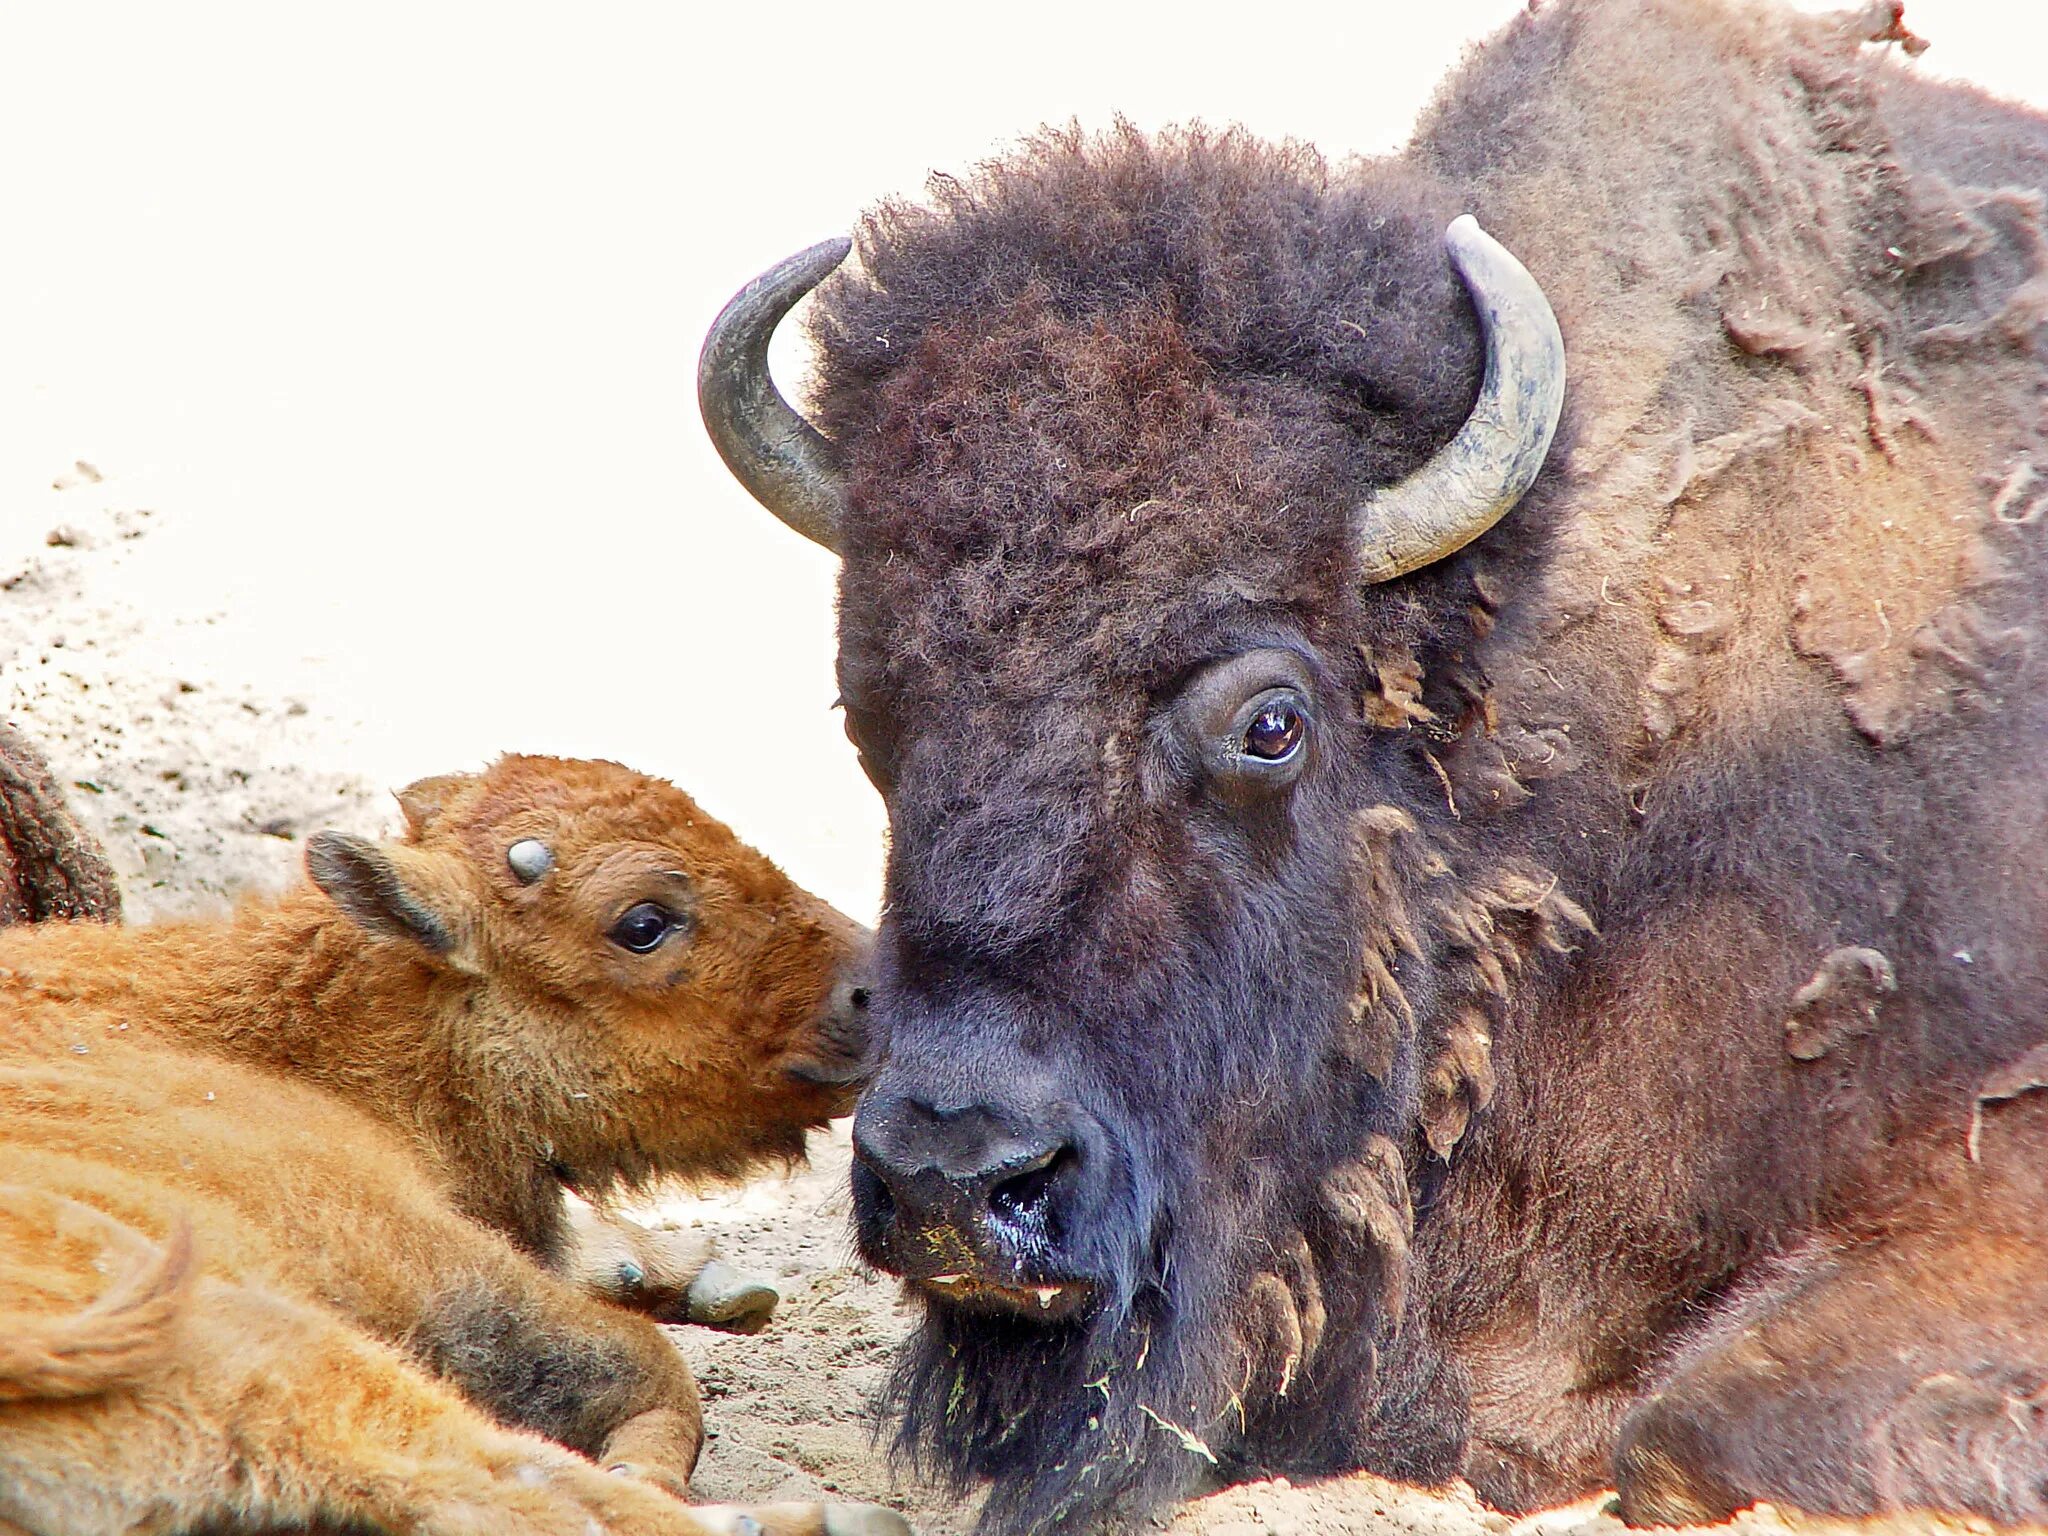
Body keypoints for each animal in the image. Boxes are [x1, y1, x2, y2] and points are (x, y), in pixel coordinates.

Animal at [0, 761, 905, 1536]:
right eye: (643, 923)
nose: (882, 988)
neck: (288, 1037)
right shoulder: (411, 1248)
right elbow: (645, 1367)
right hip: (239, 1329)